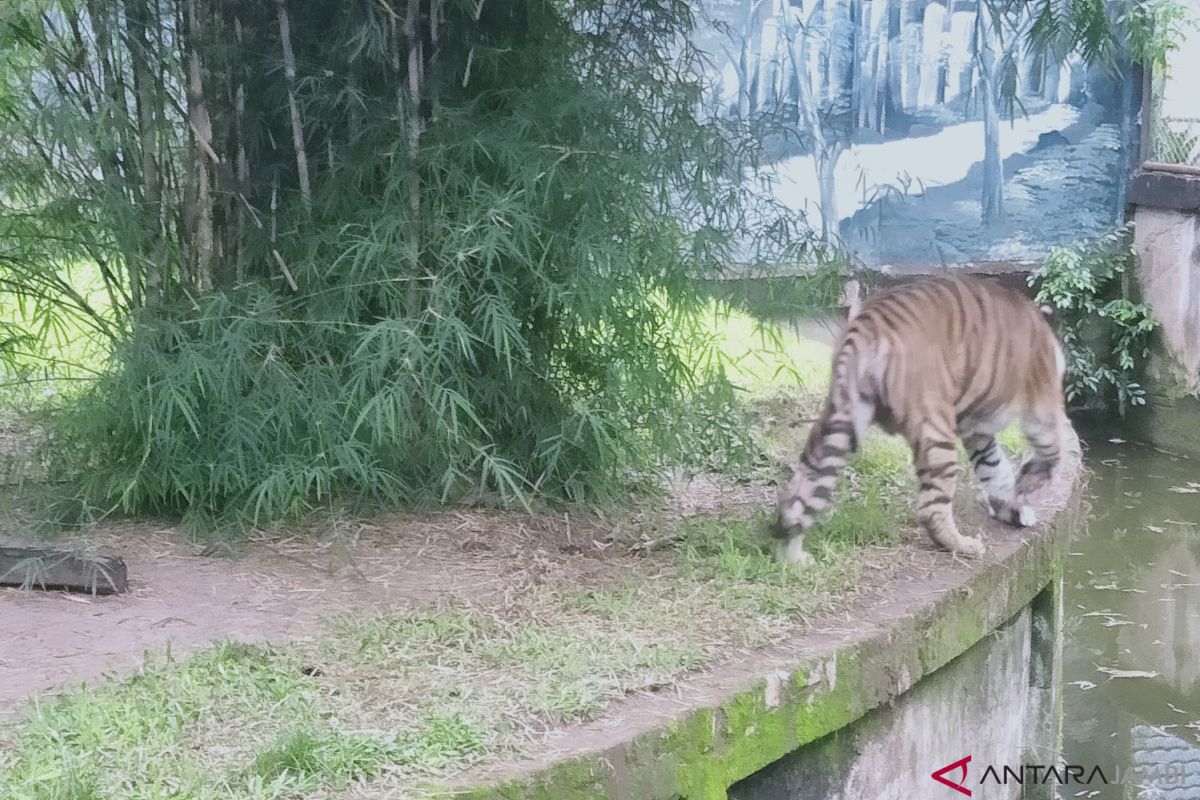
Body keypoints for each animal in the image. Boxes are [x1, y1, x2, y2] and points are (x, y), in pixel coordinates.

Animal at [772, 275, 1075, 563]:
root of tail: (869, 326)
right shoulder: (1042, 403)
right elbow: (1051, 450)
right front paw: (1025, 489)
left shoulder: (977, 431)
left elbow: (995, 468)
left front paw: (1009, 508)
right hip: (935, 431)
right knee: (931, 508)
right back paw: (964, 546)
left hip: (840, 421)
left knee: (802, 492)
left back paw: (793, 557)